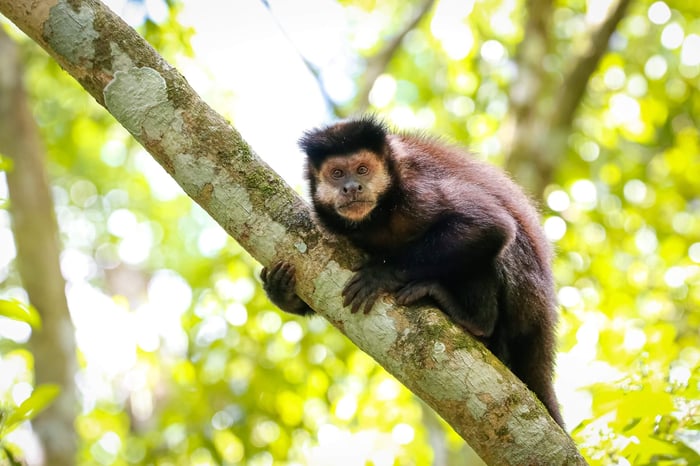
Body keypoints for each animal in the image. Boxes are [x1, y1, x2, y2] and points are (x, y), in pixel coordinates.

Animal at [260, 116, 564, 427]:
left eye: (362, 170)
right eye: (337, 173)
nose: (352, 187)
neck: (381, 214)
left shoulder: (417, 191)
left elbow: (491, 225)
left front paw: (382, 275)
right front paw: (282, 292)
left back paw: (475, 321)